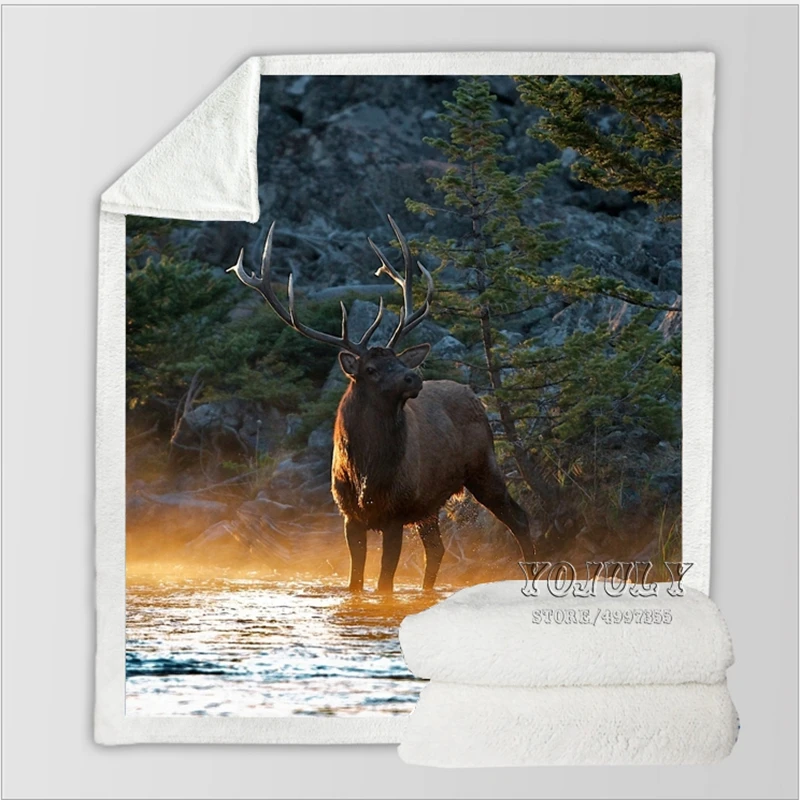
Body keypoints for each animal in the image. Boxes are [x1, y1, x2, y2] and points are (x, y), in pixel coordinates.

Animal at [228, 216, 535, 593]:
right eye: (371, 369)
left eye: (399, 360)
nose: (413, 377)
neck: (366, 473)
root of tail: (473, 393)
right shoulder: (350, 516)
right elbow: (355, 581)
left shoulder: (395, 513)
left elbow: (384, 582)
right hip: (429, 503)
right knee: (437, 549)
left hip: (483, 465)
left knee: (519, 518)